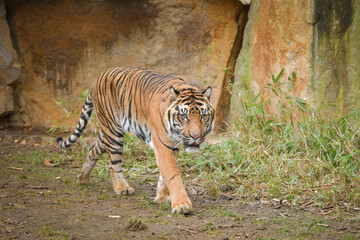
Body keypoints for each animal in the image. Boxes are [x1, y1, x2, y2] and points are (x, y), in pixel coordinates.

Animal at [56, 67, 214, 214]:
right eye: (184, 116)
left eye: (203, 116)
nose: (195, 136)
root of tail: (97, 79)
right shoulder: (163, 146)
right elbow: (173, 175)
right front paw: (182, 205)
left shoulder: (172, 147)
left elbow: (164, 176)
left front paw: (162, 197)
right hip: (114, 131)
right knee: (113, 162)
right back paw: (122, 187)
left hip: (106, 130)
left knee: (93, 149)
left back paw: (83, 178)